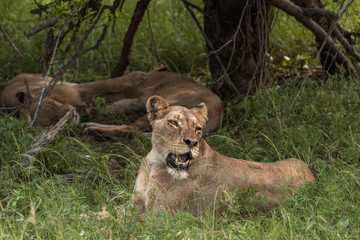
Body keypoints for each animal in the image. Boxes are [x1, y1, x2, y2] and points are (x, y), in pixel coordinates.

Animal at [1, 70, 224, 137]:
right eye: (48, 123)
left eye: (50, 104)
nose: (71, 117)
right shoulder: (132, 99)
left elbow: (109, 83)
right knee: (130, 129)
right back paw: (92, 127)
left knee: (131, 129)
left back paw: (91, 127)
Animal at [132, 95, 316, 216]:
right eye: (173, 123)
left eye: (198, 129)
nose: (192, 143)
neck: (154, 162)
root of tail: (312, 178)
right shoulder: (136, 203)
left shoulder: (161, 216)